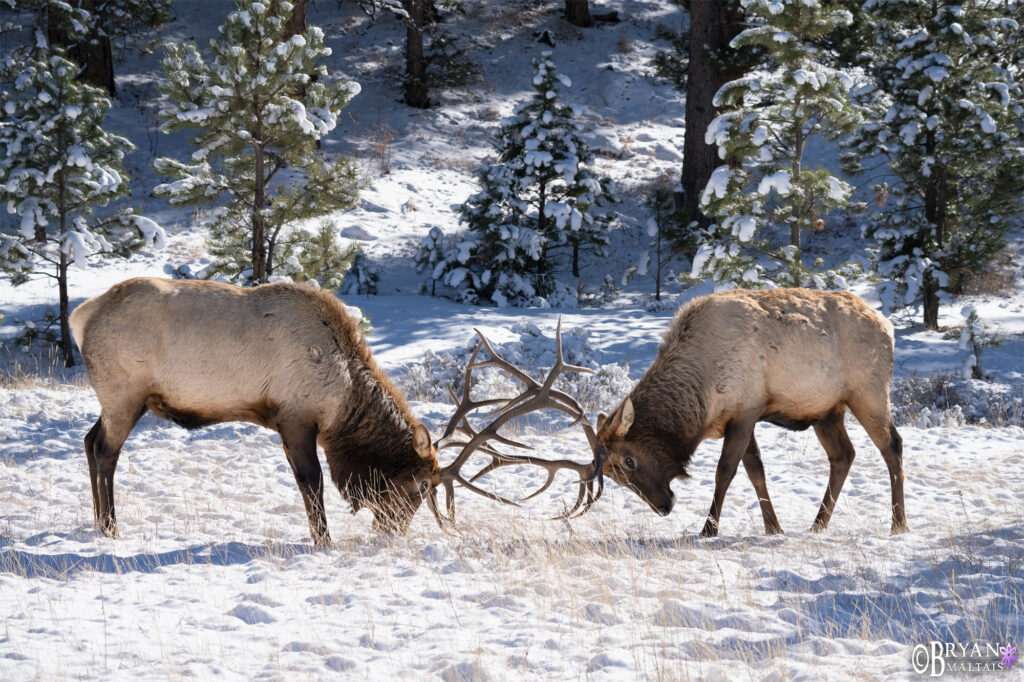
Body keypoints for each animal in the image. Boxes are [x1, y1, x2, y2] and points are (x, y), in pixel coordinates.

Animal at [72, 276, 602, 540]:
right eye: (417, 486)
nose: (392, 534)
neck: (343, 400)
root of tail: (81, 316)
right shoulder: (295, 416)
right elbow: (313, 485)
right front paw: (323, 541)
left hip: (119, 398)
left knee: (88, 440)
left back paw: (100, 522)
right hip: (124, 392)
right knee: (104, 449)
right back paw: (110, 527)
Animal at [598, 286, 909, 536]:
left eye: (629, 461)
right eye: (613, 476)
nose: (664, 506)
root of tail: (888, 326)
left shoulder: (746, 412)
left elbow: (725, 471)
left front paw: (709, 529)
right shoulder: (740, 417)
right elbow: (755, 471)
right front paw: (773, 527)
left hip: (868, 393)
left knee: (892, 446)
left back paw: (899, 524)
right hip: (826, 411)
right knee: (844, 455)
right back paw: (818, 524)